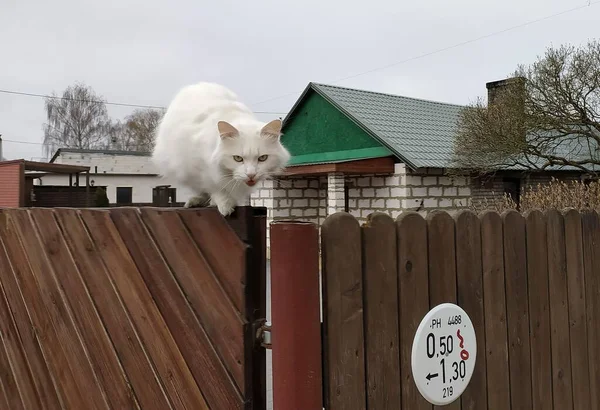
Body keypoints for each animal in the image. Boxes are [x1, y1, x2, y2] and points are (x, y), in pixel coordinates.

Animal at [151, 80, 290, 215]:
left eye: (262, 158)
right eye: (238, 158)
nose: (251, 175)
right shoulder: (202, 169)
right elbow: (215, 188)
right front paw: (225, 206)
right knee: (200, 189)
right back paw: (196, 201)